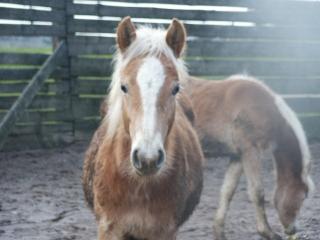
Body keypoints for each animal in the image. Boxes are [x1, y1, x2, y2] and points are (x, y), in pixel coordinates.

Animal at [82, 17, 202, 240]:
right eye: (124, 87)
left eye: (175, 88)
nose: (148, 158)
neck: (137, 187)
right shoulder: (108, 229)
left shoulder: (164, 231)